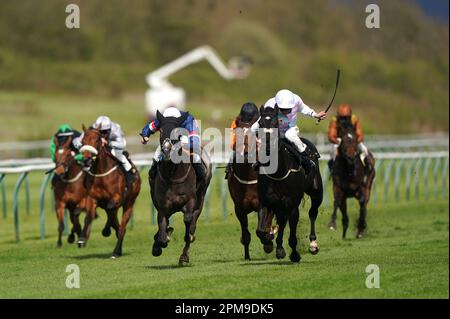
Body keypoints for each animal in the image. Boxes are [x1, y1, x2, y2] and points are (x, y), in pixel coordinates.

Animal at [78, 126, 140, 258]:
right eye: (83, 141)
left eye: (97, 140)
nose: (86, 159)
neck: (101, 174)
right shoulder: (92, 198)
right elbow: (88, 216)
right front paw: (82, 238)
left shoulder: (117, 197)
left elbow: (111, 208)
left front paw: (107, 230)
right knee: (115, 219)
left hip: (129, 203)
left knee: (122, 227)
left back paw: (116, 251)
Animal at [148, 111, 211, 266]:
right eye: (161, 130)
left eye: (177, 132)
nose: (166, 150)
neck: (173, 175)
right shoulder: (163, 205)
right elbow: (162, 225)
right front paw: (161, 241)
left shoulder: (190, 202)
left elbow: (188, 222)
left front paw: (184, 251)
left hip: (200, 200)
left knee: (192, 223)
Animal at [255, 106, 322, 264]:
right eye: (260, 123)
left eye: (275, 123)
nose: (267, 146)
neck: (278, 173)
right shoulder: (266, 201)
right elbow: (260, 231)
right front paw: (269, 239)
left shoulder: (292, 204)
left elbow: (292, 236)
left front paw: (295, 255)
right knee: (282, 221)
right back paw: (279, 247)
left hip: (317, 192)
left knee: (312, 212)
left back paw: (313, 244)